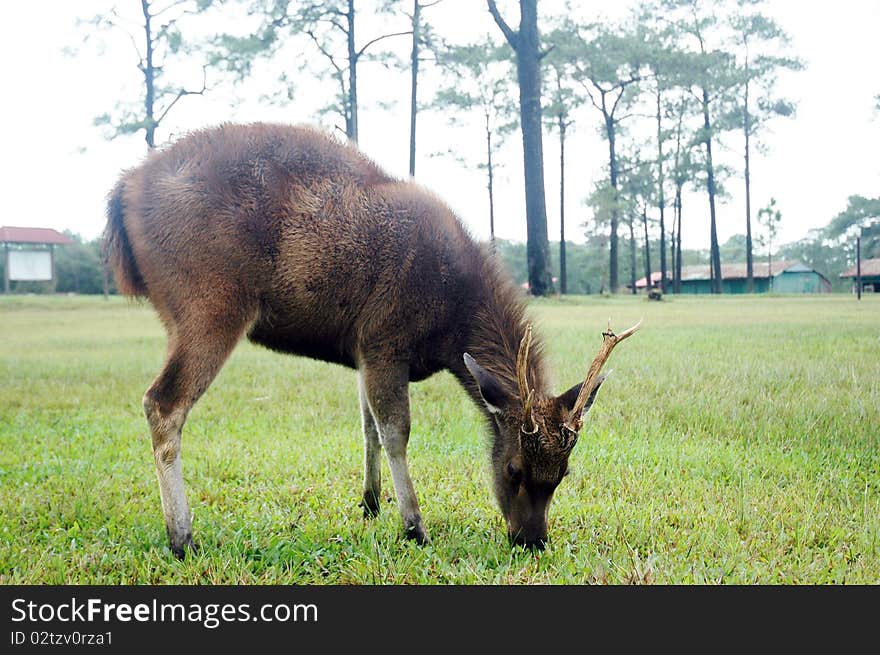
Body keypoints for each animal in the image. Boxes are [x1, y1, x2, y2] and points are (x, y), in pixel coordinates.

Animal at [105, 120, 640, 556]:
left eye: (563, 474)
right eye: (513, 469)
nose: (531, 540)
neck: (452, 323)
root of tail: (123, 191)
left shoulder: (361, 351)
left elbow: (367, 427)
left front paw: (370, 503)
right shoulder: (385, 338)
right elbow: (396, 431)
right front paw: (415, 526)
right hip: (210, 304)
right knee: (163, 402)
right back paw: (182, 537)